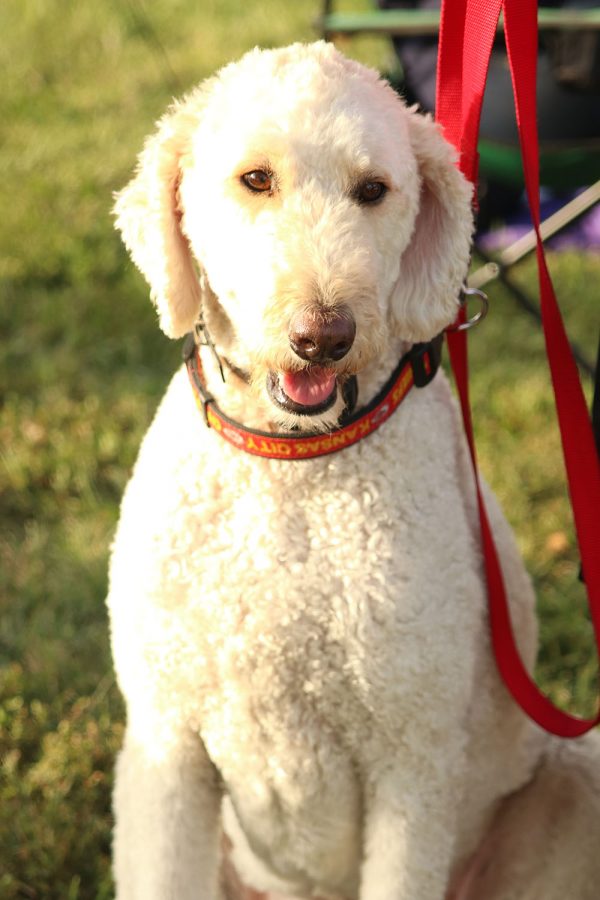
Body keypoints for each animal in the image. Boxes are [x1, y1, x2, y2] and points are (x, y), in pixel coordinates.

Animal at [108, 40, 600, 900]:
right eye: (256, 179)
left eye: (373, 190)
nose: (322, 336)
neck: (296, 468)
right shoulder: (165, 749)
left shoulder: (414, 759)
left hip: (575, 779)